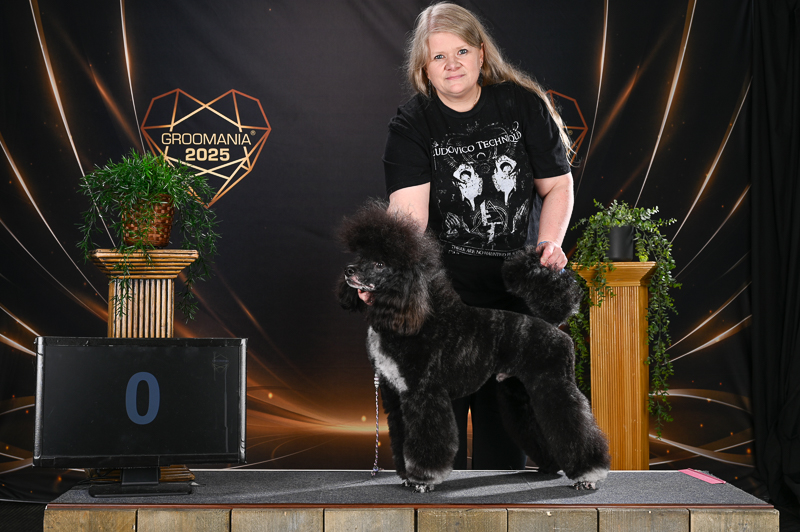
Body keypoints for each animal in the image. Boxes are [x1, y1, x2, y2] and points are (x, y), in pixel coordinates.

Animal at [336, 201, 610, 492]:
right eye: (361, 256)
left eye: (379, 263)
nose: (349, 270)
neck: (409, 317)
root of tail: (553, 326)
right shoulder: (395, 396)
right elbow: (402, 439)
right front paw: (408, 477)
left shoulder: (424, 393)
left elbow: (427, 439)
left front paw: (423, 479)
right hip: (520, 390)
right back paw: (550, 466)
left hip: (553, 383)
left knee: (575, 424)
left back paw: (588, 475)